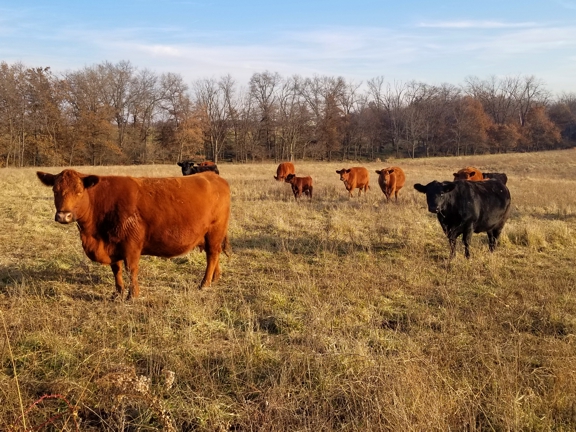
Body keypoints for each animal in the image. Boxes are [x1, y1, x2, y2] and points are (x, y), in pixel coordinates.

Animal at [35, 170, 230, 300]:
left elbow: (131, 269)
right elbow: (116, 269)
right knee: (214, 255)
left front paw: (132, 294)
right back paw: (215, 278)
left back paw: (205, 284)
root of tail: (211, 175)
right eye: (55, 191)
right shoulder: (112, 245)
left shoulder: (131, 244)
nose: (63, 216)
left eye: (79, 191)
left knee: (212, 255)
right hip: (208, 236)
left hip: (215, 231)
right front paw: (118, 292)